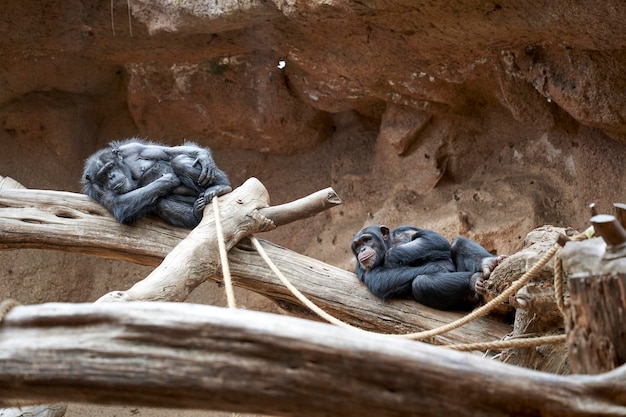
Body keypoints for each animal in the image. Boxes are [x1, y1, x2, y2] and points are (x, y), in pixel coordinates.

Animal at [80, 138, 232, 228]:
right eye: (103, 175)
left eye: (111, 166)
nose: (111, 176)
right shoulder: (95, 189)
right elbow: (118, 203)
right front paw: (168, 179)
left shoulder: (132, 148)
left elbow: (166, 152)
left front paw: (202, 155)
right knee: (160, 202)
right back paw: (196, 214)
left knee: (179, 160)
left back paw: (219, 187)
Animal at [352, 224, 502, 308]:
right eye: (357, 245)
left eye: (367, 240)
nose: (362, 249)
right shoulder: (362, 270)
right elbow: (380, 281)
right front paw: (439, 268)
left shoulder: (405, 231)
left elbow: (432, 238)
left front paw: (391, 256)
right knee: (421, 283)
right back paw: (474, 279)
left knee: (457, 242)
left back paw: (488, 262)